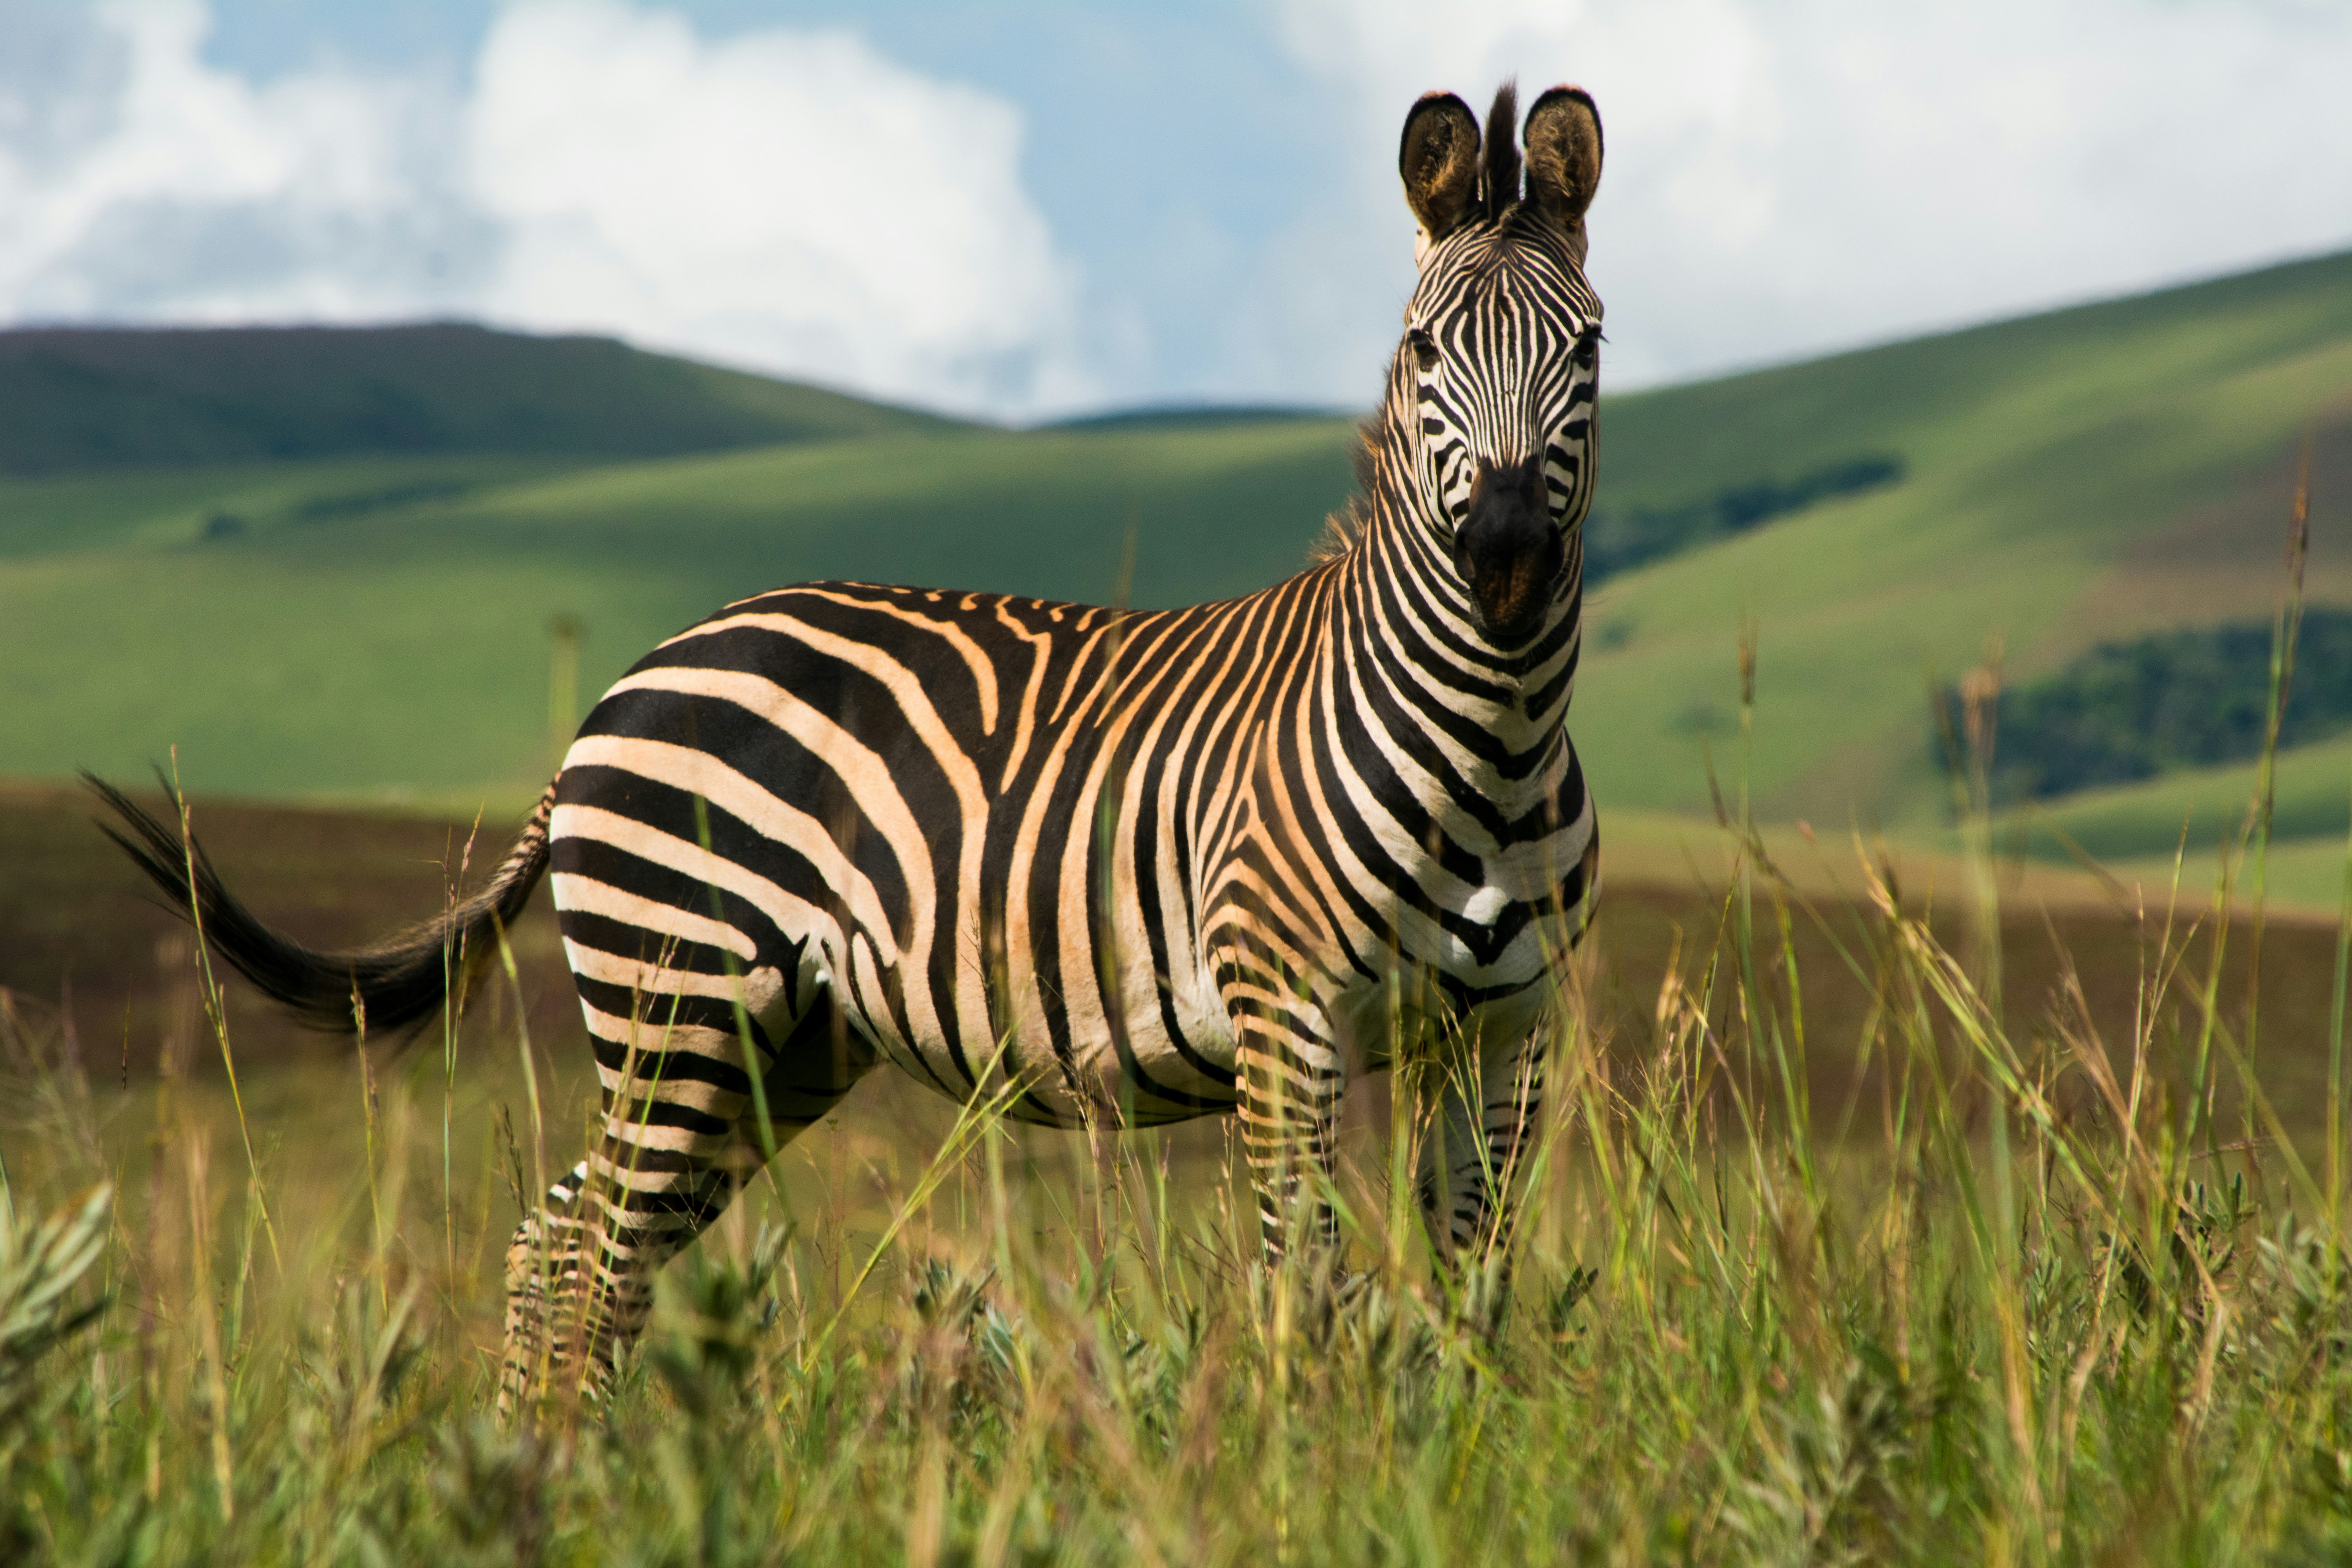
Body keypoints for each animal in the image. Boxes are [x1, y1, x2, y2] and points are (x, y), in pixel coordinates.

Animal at [91, 83, 1599, 1410]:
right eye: (1422, 350)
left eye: (1586, 348)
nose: (1507, 559)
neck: (1489, 746)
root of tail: (625, 684)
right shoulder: (1288, 1019)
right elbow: (1303, 1289)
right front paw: (1297, 1474)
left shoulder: (1504, 1037)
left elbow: (1474, 1290)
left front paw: (1452, 1467)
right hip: (678, 998)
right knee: (593, 1257)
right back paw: (568, 1483)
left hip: (777, 1043)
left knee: (563, 1241)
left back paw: (548, 1463)